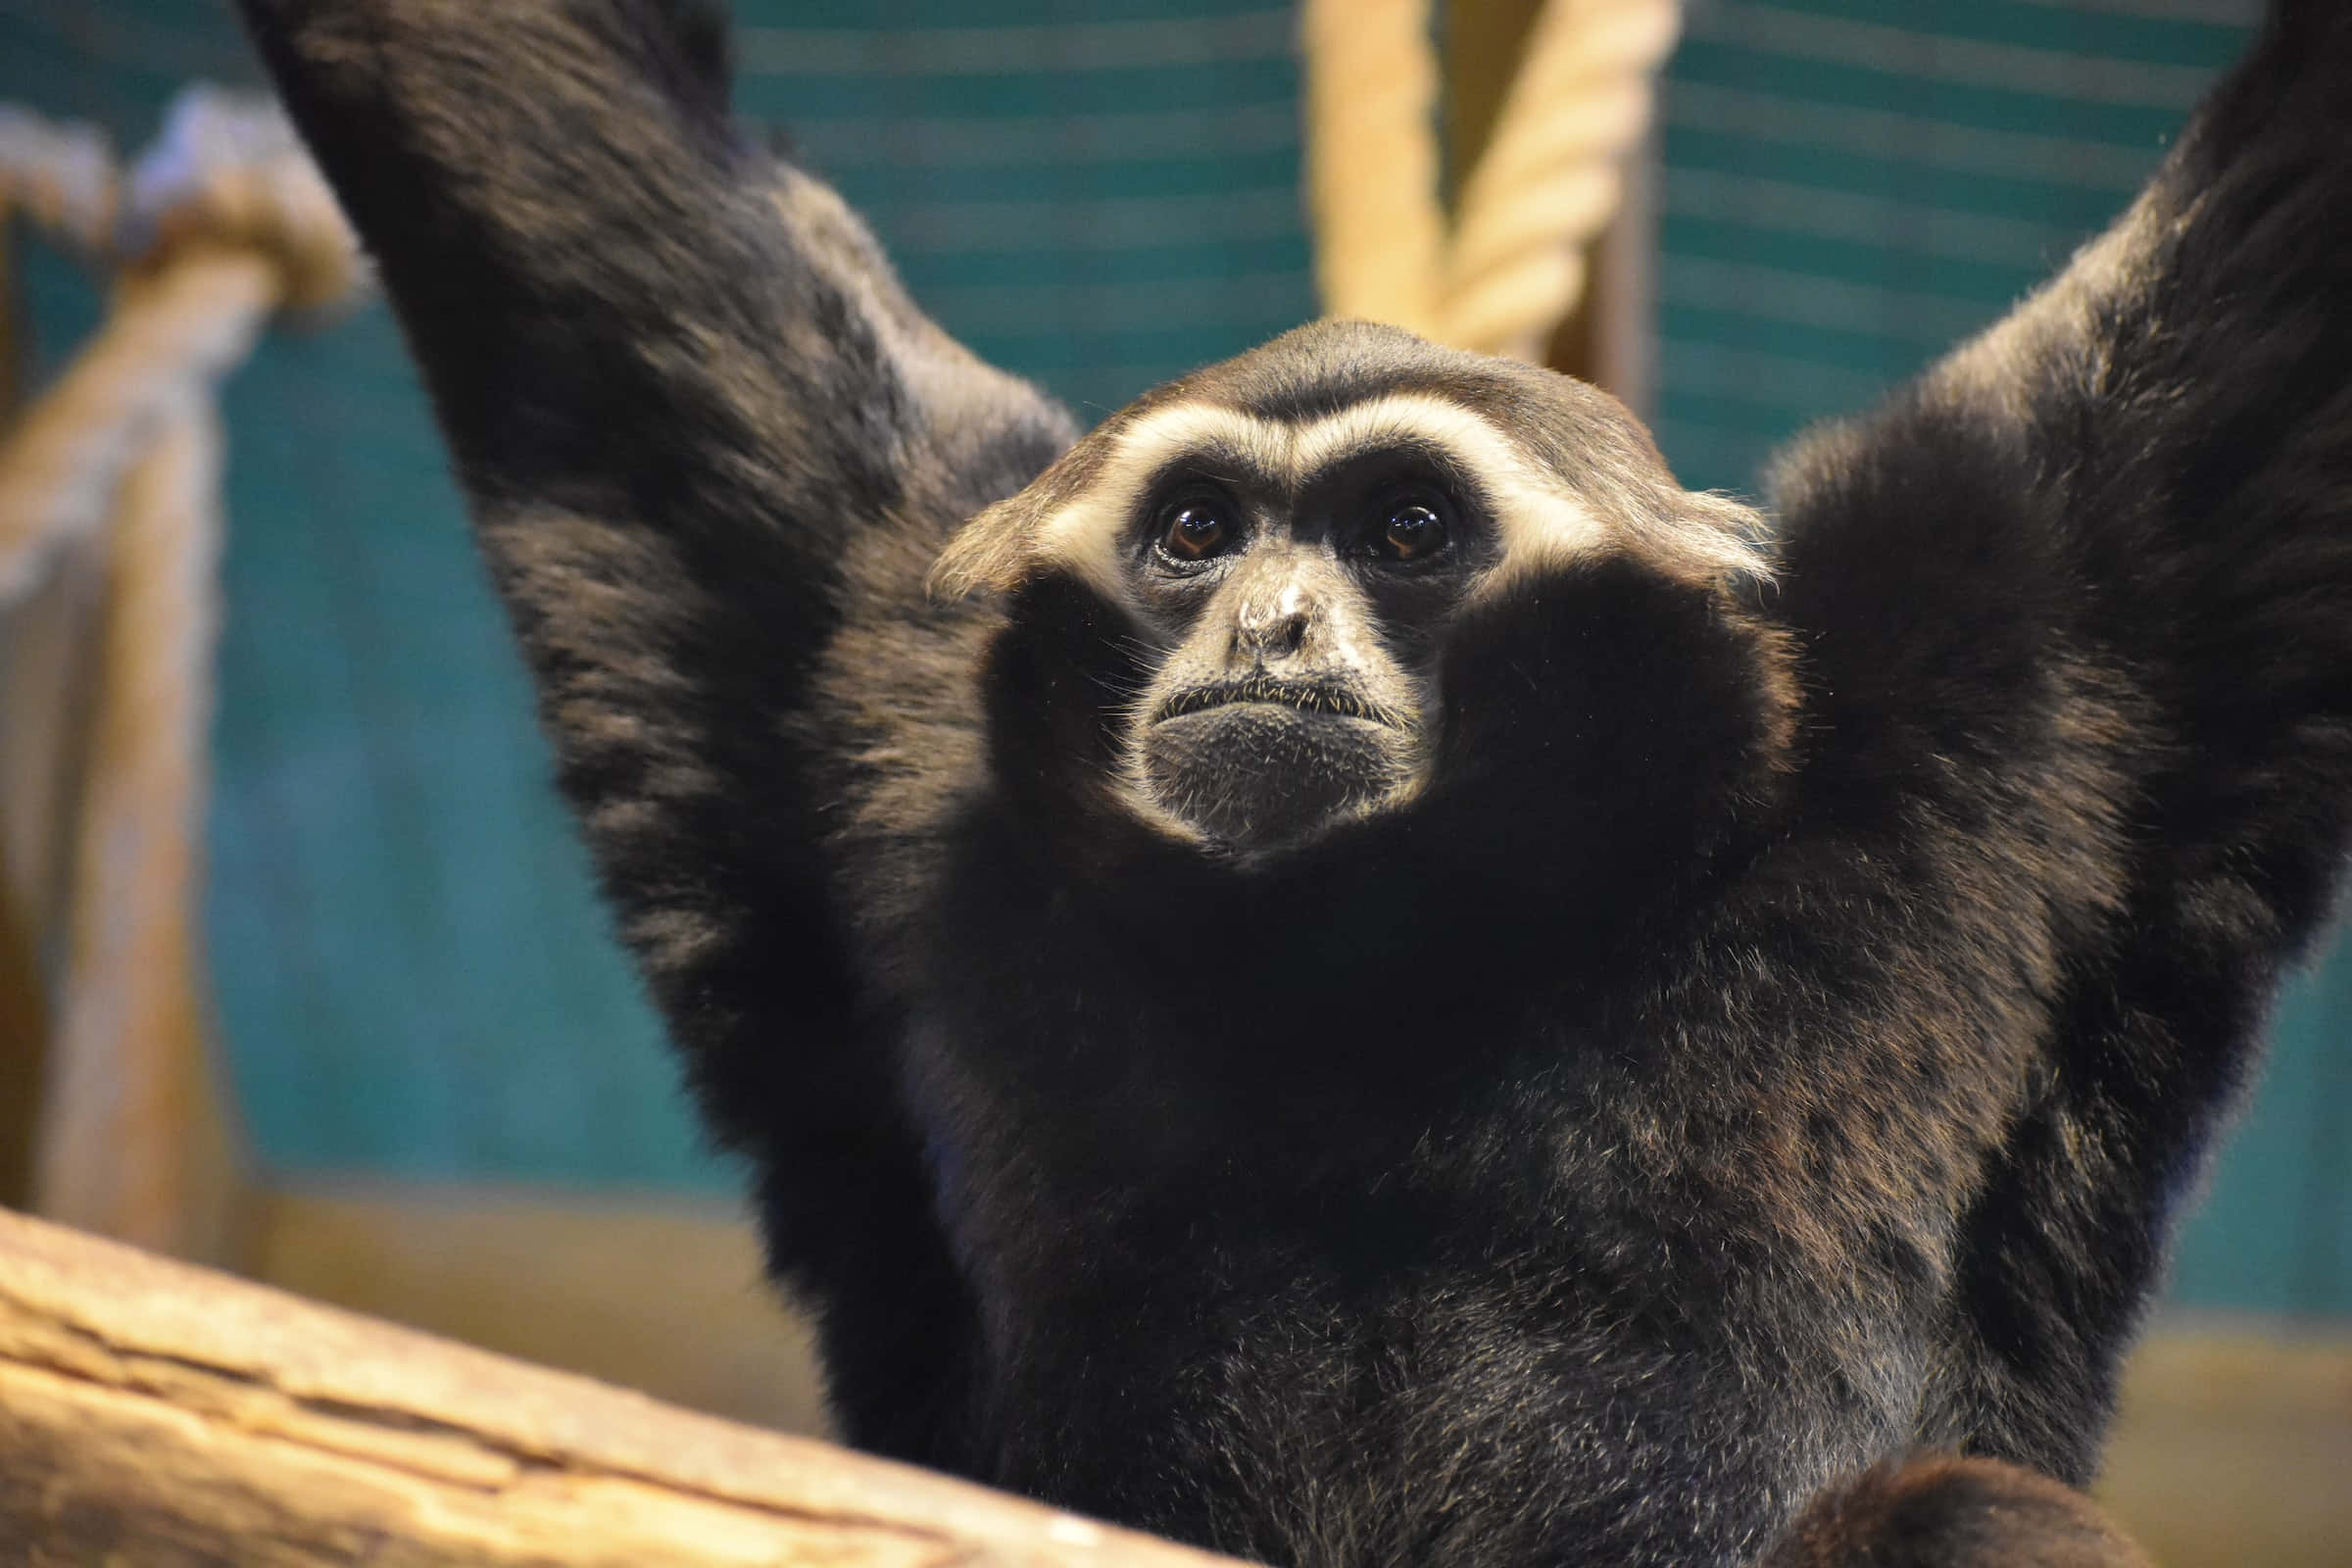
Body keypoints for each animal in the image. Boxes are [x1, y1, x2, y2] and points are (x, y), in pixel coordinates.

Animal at [234, 1, 2350, 1564]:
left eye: (1406, 528)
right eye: (1198, 531)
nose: (1267, 622)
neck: (1385, 975)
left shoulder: (2018, 628)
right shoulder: (869, 650)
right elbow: (580, 231)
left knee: (1973, 1517)